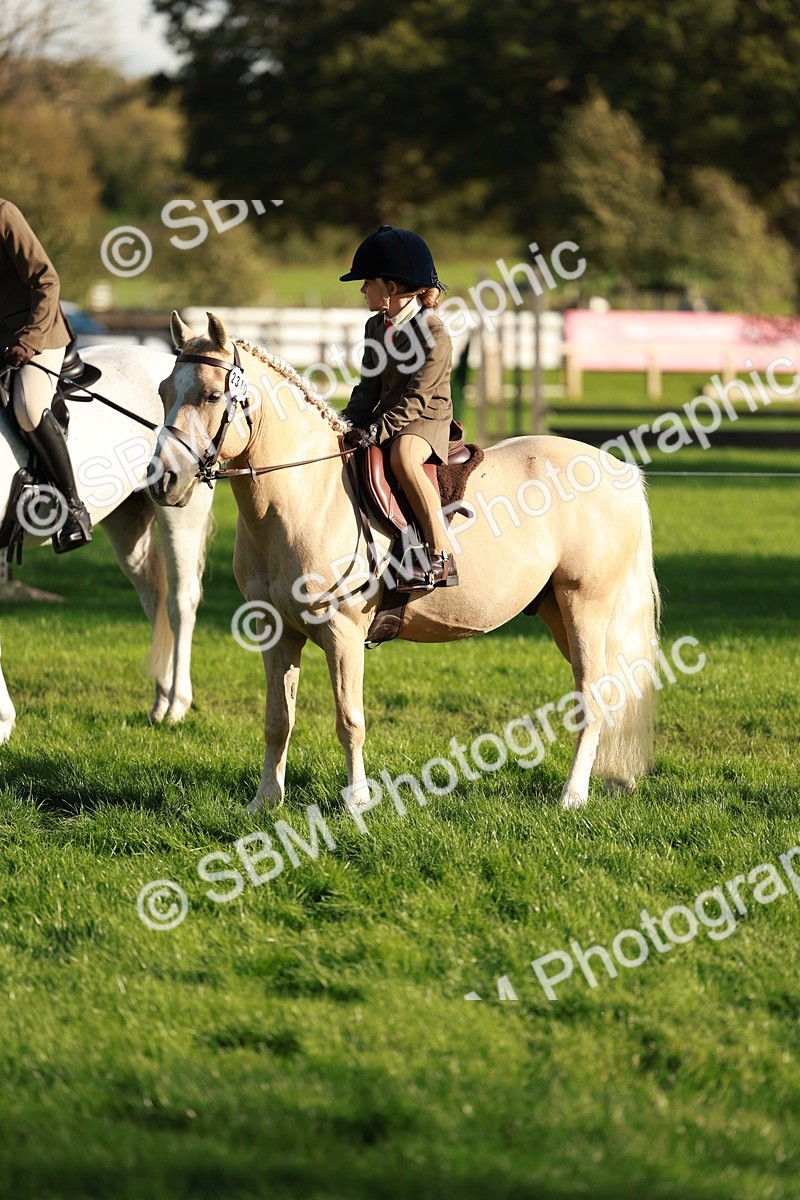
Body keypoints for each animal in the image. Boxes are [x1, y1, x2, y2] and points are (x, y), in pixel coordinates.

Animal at [0, 343, 213, 746]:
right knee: (155, 599)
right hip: (128, 526)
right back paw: (160, 701)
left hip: (180, 514)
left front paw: (3, 721)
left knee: (180, 603)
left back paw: (176, 705)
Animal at [150, 311, 660, 813]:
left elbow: (349, 720)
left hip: (584, 606)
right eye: (162, 392)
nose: (163, 480)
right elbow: (278, 719)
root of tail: (619, 470)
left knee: (592, 696)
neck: (306, 494)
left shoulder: (342, 632)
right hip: (558, 612)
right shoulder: (276, 632)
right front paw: (264, 803)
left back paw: (573, 795)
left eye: (212, 395)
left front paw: (357, 802)